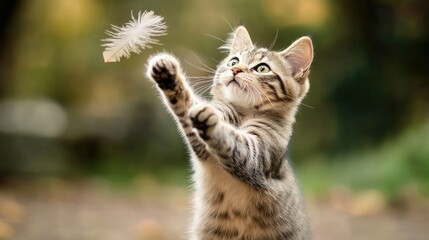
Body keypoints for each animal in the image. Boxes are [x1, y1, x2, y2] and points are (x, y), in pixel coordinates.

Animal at [145, 26, 312, 240]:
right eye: (233, 61)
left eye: (262, 68)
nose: (235, 70)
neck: (242, 115)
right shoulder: (203, 143)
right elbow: (186, 106)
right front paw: (168, 78)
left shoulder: (255, 155)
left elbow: (231, 137)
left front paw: (211, 120)